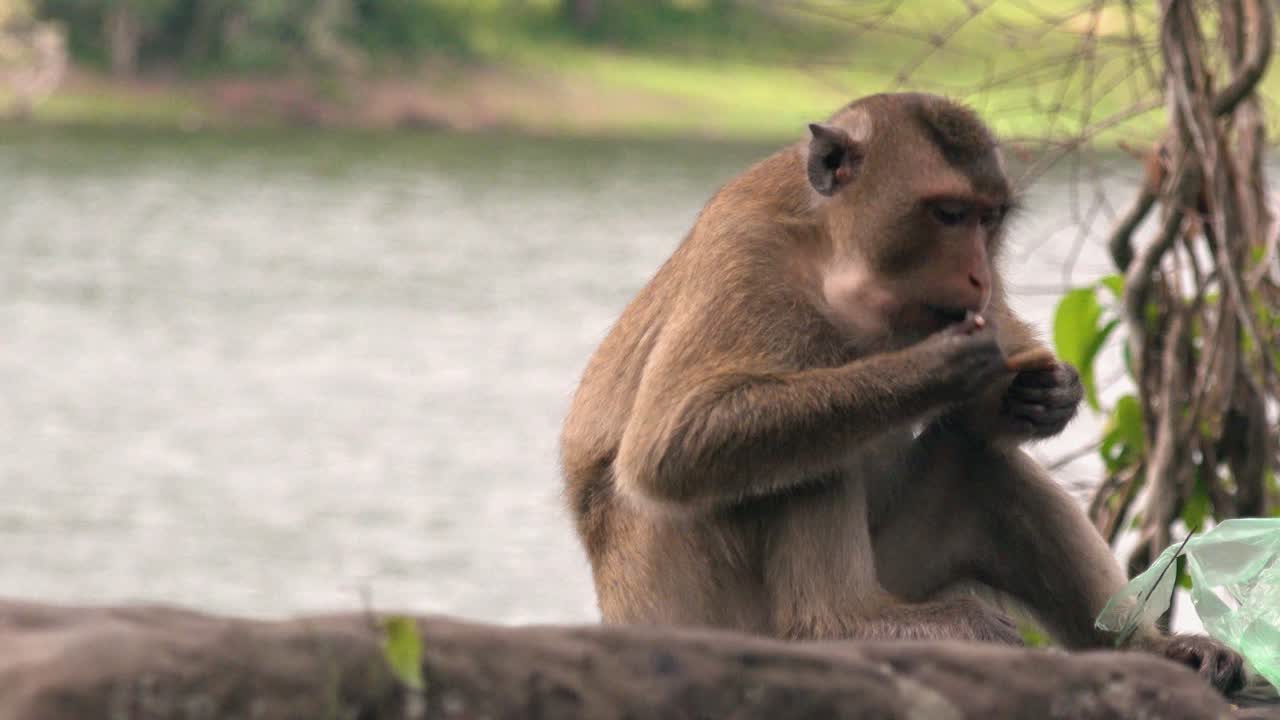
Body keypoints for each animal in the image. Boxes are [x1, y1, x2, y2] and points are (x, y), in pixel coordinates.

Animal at [560, 93, 1245, 693]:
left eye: (988, 218)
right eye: (947, 214)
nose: (978, 273)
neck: (835, 254)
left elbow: (988, 413)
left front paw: (1048, 394)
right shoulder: (749, 253)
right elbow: (672, 444)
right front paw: (937, 367)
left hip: (906, 574)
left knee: (980, 466)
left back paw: (1150, 650)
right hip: (696, 606)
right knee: (797, 448)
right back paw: (838, 625)